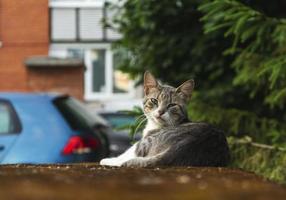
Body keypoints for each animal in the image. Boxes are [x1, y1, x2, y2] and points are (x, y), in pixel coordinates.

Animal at [100, 71, 230, 167]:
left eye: (172, 105)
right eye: (154, 100)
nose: (160, 112)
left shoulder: (145, 141)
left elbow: (129, 152)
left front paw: (110, 159)